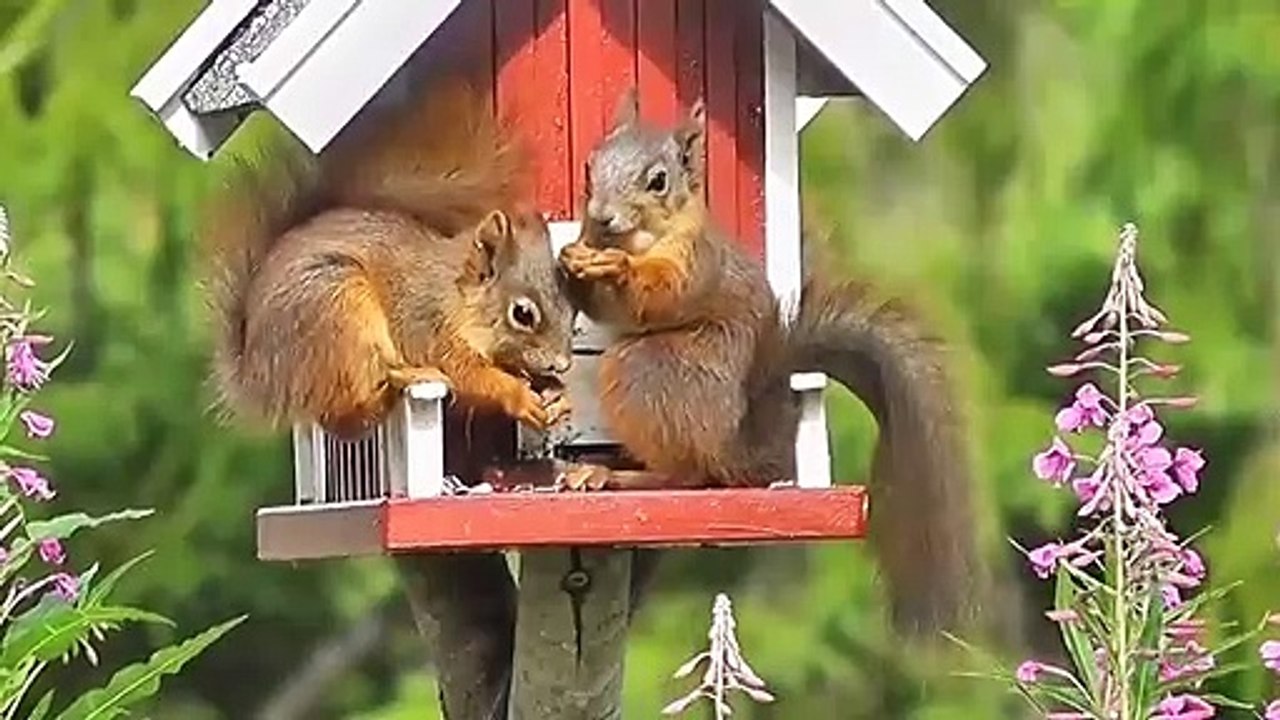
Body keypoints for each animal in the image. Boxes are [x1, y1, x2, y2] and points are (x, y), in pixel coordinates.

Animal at [201, 78, 576, 439]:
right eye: (522, 314)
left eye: (572, 309)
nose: (562, 364)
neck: (455, 294)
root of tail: (256, 375)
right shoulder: (427, 326)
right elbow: (468, 375)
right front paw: (519, 395)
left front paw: (556, 392)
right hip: (337, 315)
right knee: (343, 419)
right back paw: (396, 386)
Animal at [558, 89, 981, 637]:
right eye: (590, 167)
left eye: (658, 181)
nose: (602, 217)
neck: (645, 238)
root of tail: (734, 445)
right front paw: (571, 258)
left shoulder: (695, 263)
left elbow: (656, 299)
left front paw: (616, 268)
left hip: (643, 374)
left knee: (686, 477)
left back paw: (612, 476)